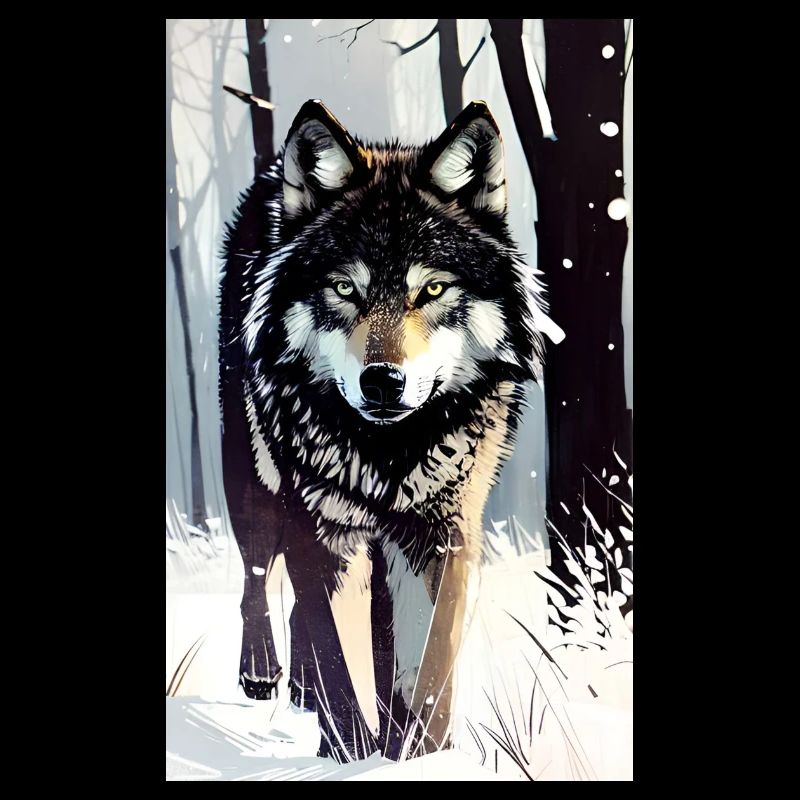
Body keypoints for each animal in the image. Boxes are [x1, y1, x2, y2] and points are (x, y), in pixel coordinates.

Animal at [218, 98, 551, 761]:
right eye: (346, 288)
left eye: (434, 288)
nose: (383, 383)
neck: (386, 456)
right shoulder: (324, 531)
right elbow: (341, 660)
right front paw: (352, 756)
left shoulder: (442, 532)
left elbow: (427, 662)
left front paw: (419, 755)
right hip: (256, 484)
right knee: (256, 577)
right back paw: (266, 674)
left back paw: (304, 691)